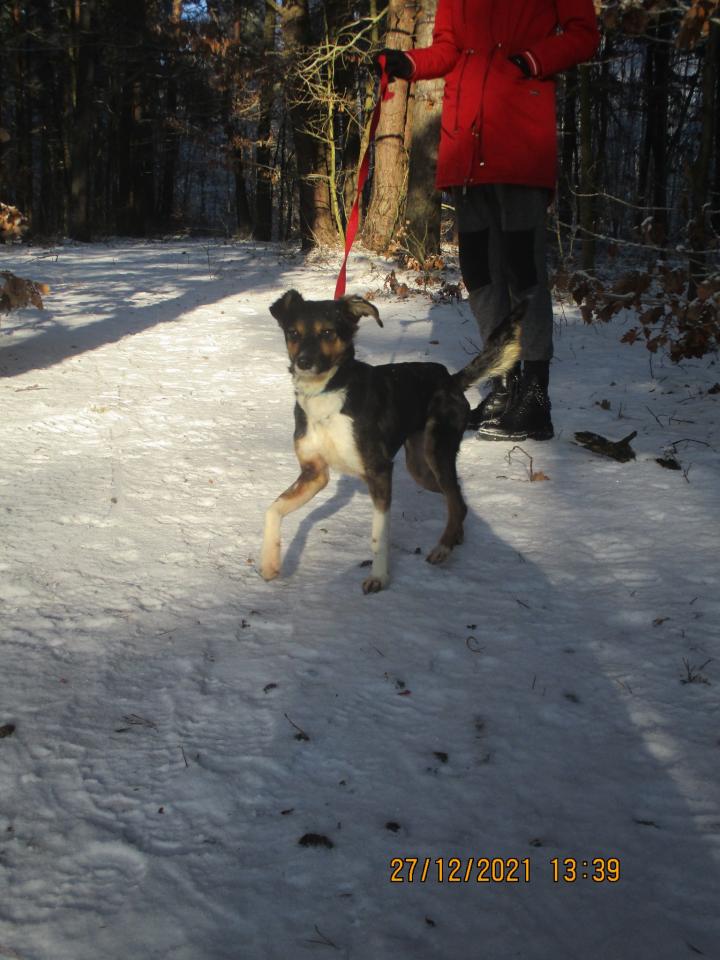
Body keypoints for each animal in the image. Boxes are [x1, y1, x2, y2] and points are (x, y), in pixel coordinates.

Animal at [260, 290, 523, 593]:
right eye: (293, 333)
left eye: (327, 332)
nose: (303, 362)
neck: (328, 393)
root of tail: (450, 379)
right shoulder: (314, 474)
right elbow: (273, 509)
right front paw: (269, 563)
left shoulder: (379, 472)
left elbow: (379, 534)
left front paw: (379, 577)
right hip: (419, 468)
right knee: (458, 500)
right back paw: (455, 537)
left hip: (437, 451)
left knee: (455, 500)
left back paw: (443, 548)